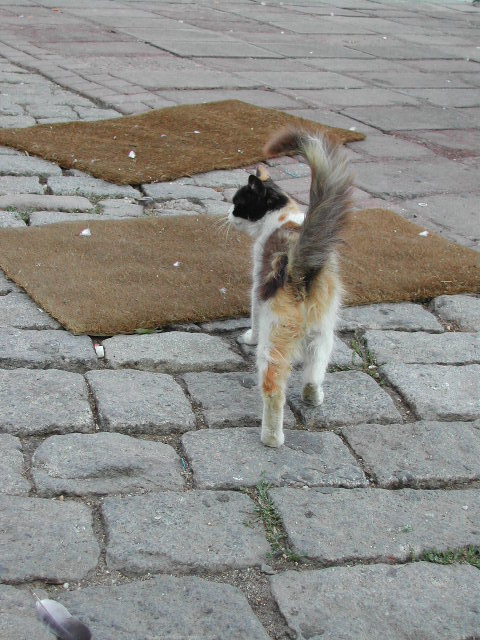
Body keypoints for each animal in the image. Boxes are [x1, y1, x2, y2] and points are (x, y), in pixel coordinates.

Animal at [227, 129, 350, 448]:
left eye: (238, 203)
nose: (228, 214)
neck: (284, 216)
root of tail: (301, 268)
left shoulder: (256, 284)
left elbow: (253, 315)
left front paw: (248, 337)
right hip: (324, 333)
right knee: (315, 369)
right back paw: (312, 397)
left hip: (275, 340)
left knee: (273, 390)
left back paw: (271, 437)